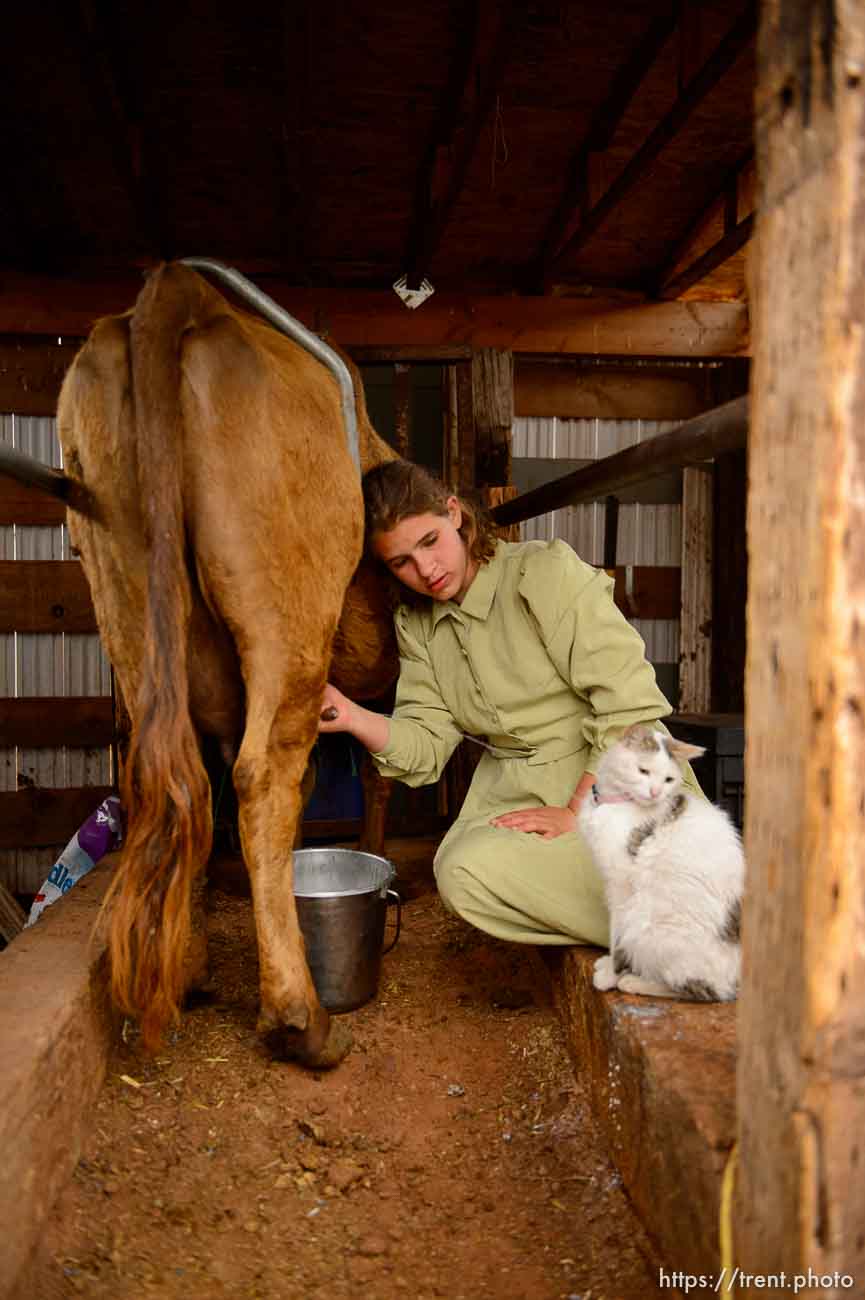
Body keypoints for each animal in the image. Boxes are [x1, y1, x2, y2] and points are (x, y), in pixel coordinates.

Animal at [55, 263, 400, 1066]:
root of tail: (178, 290)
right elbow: (367, 778)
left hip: (123, 590)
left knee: (178, 780)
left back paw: (187, 968)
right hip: (287, 617)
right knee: (261, 776)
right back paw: (301, 1017)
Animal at [572, 728, 744, 998]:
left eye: (668, 779)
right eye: (643, 771)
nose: (655, 792)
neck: (614, 801)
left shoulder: (621, 885)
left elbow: (616, 937)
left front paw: (611, 975)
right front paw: (609, 965)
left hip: (648, 924)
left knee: (705, 990)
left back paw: (635, 982)